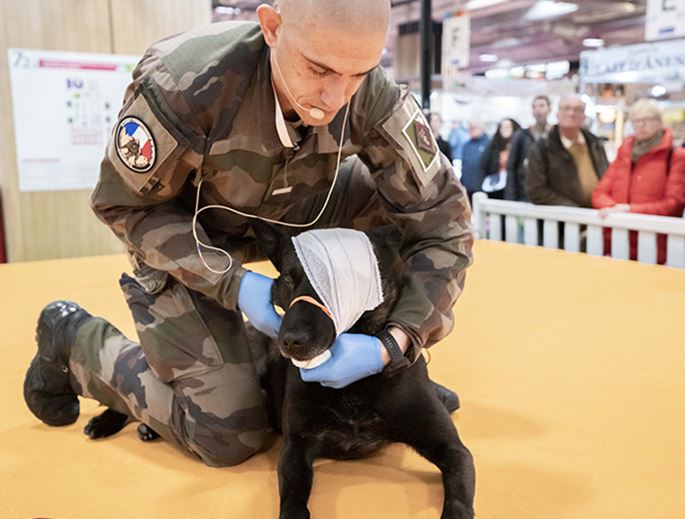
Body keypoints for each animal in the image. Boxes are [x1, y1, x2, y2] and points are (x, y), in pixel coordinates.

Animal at [247, 223, 476, 519]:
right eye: (288, 278)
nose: (290, 341)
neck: (353, 385)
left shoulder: (453, 450)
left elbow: (458, 501)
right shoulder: (295, 448)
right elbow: (292, 501)